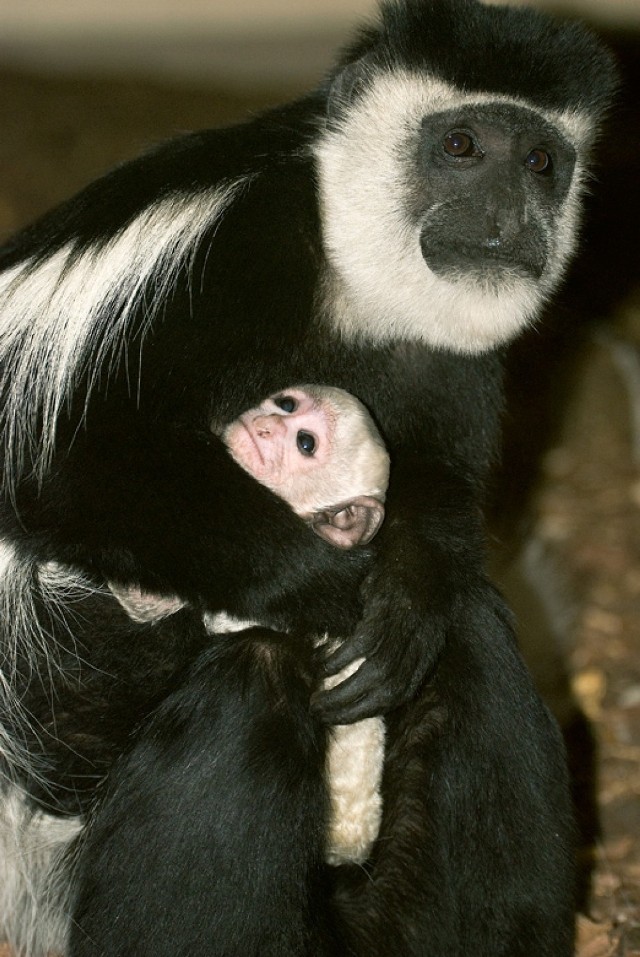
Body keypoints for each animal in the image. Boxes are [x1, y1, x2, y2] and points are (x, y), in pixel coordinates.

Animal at [0, 0, 616, 952]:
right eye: (464, 145)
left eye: (542, 162)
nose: (511, 212)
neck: (349, 272)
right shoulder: (220, 253)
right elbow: (57, 465)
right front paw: (326, 590)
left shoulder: (449, 355)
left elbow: (436, 488)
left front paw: (403, 602)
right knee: (250, 670)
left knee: (472, 628)